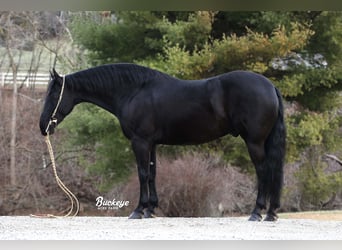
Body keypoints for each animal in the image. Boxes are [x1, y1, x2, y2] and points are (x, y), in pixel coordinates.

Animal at [39, 63, 286, 222]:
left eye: (53, 95)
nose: (42, 126)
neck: (133, 91)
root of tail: (271, 87)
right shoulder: (152, 144)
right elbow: (152, 173)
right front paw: (151, 210)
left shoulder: (140, 142)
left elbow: (142, 174)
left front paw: (138, 210)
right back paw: (271, 213)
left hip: (254, 141)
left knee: (264, 171)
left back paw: (257, 212)